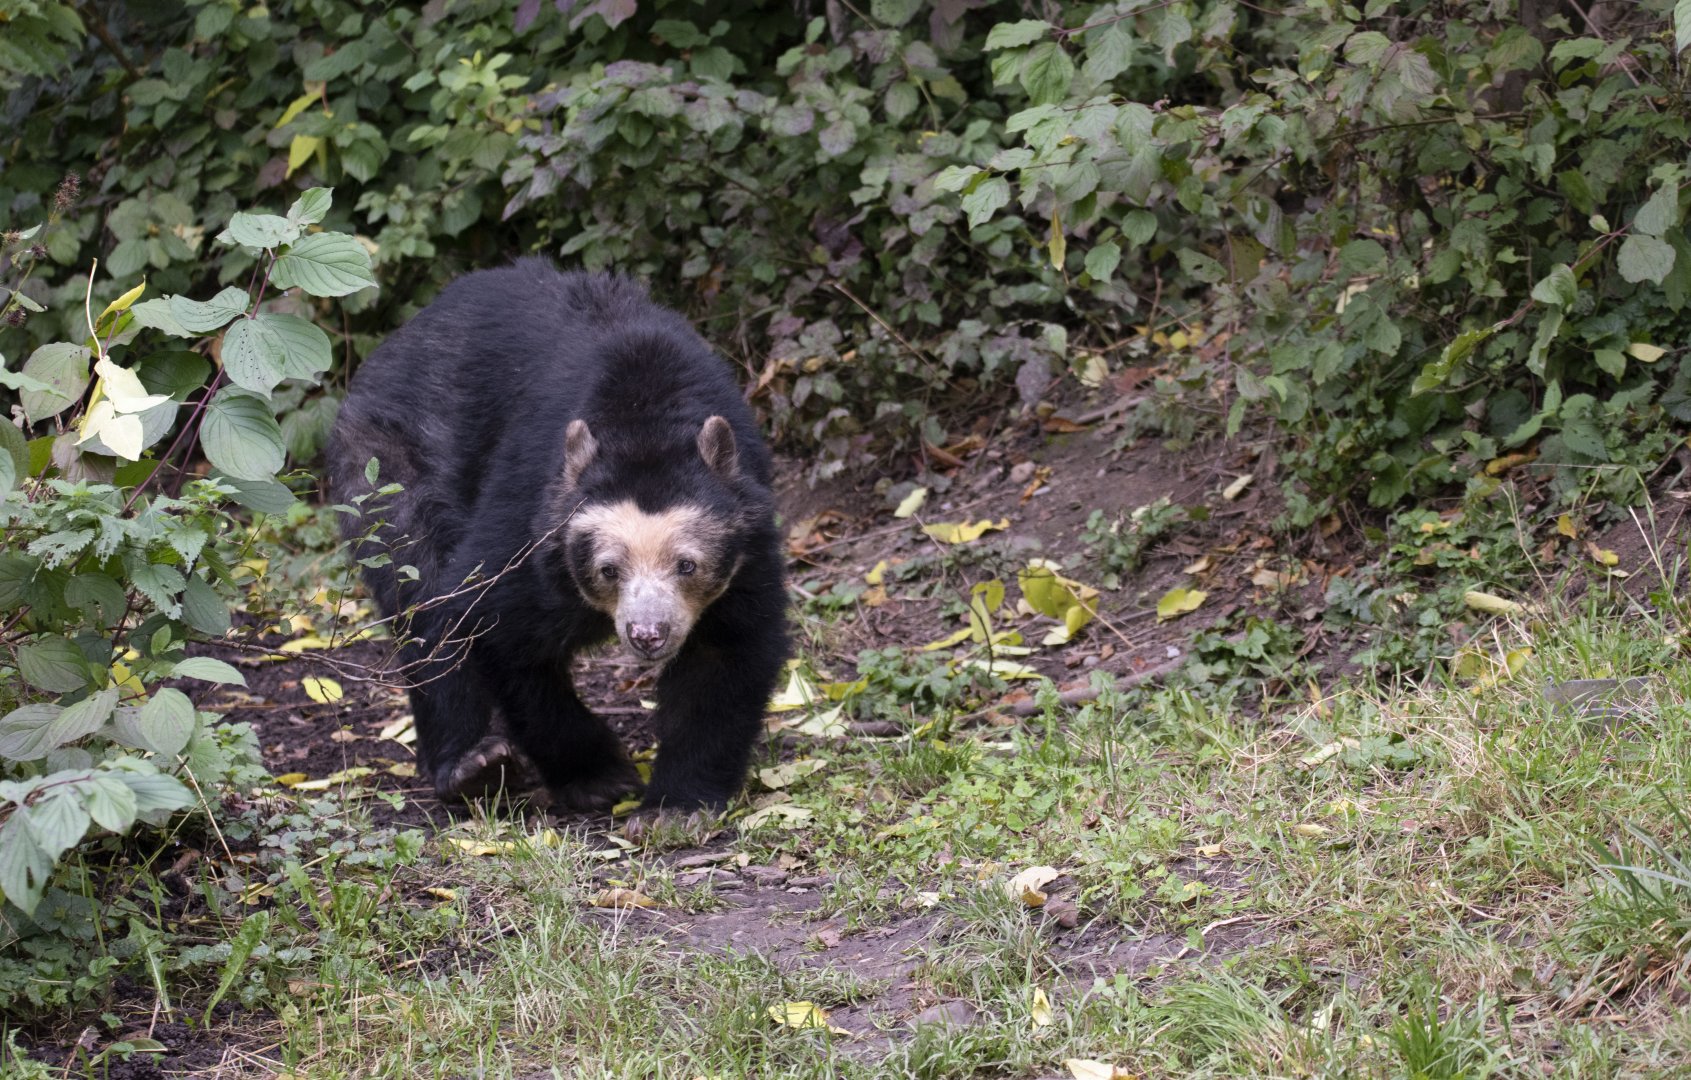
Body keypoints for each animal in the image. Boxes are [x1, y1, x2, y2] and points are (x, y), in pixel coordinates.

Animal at [325, 258, 790, 816]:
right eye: (609, 569)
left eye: (687, 565)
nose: (648, 635)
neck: (645, 417)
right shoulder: (530, 516)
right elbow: (495, 622)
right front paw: (599, 777)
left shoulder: (749, 536)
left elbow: (726, 651)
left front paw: (672, 808)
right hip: (386, 461)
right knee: (419, 594)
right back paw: (472, 767)